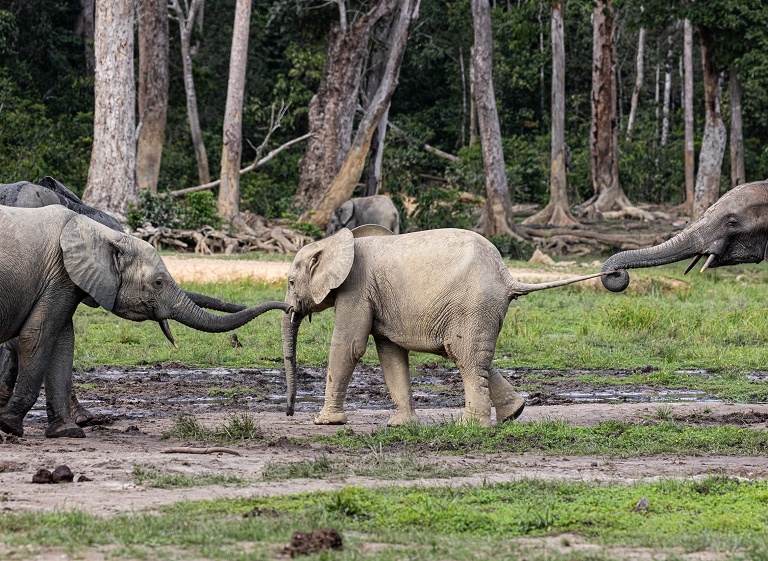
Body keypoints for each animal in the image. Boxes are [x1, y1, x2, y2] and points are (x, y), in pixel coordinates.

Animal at [0, 204, 290, 438]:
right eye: (158, 283)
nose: (288, 307)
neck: (103, 234)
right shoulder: (59, 276)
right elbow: (37, 336)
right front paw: (10, 427)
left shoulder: (66, 281)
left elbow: (61, 344)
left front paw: (67, 433)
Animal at [281, 226, 606, 427]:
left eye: (291, 282)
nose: (289, 411)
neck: (334, 241)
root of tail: (506, 276)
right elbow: (391, 354)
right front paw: (400, 425)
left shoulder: (357, 288)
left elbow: (349, 346)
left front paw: (325, 422)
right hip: (480, 311)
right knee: (476, 358)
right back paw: (513, 414)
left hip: (471, 305)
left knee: (465, 356)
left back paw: (470, 425)